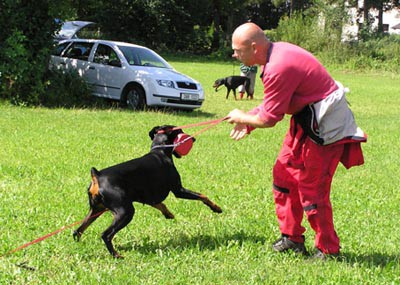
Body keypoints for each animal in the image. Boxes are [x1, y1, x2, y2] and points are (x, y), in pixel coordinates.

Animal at [72, 125, 222, 258]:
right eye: (180, 130)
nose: (193, 139)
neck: (160, 151)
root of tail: (96, 175)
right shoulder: (178, 190)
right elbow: (203, 195)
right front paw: (216, 208)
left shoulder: (147, 196)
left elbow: (160, 204)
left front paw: (168, 214)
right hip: (125, 211)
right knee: (106, 235)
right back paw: (116, 255)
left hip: (96, 209)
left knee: (77, 230)